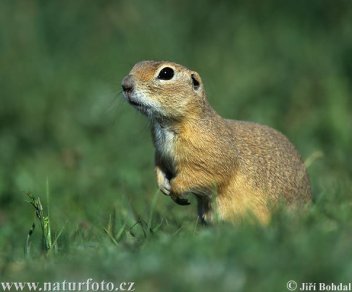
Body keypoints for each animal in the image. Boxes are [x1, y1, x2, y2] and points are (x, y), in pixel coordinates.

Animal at [121, 60, 310, 224]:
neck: (166, 125)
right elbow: (159, 166)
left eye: (166, 73)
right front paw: (163, 186)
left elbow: (206, 174)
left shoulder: (207, 153)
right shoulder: (160, 152)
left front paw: (175, 188)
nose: (125, 84)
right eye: (137, 64)